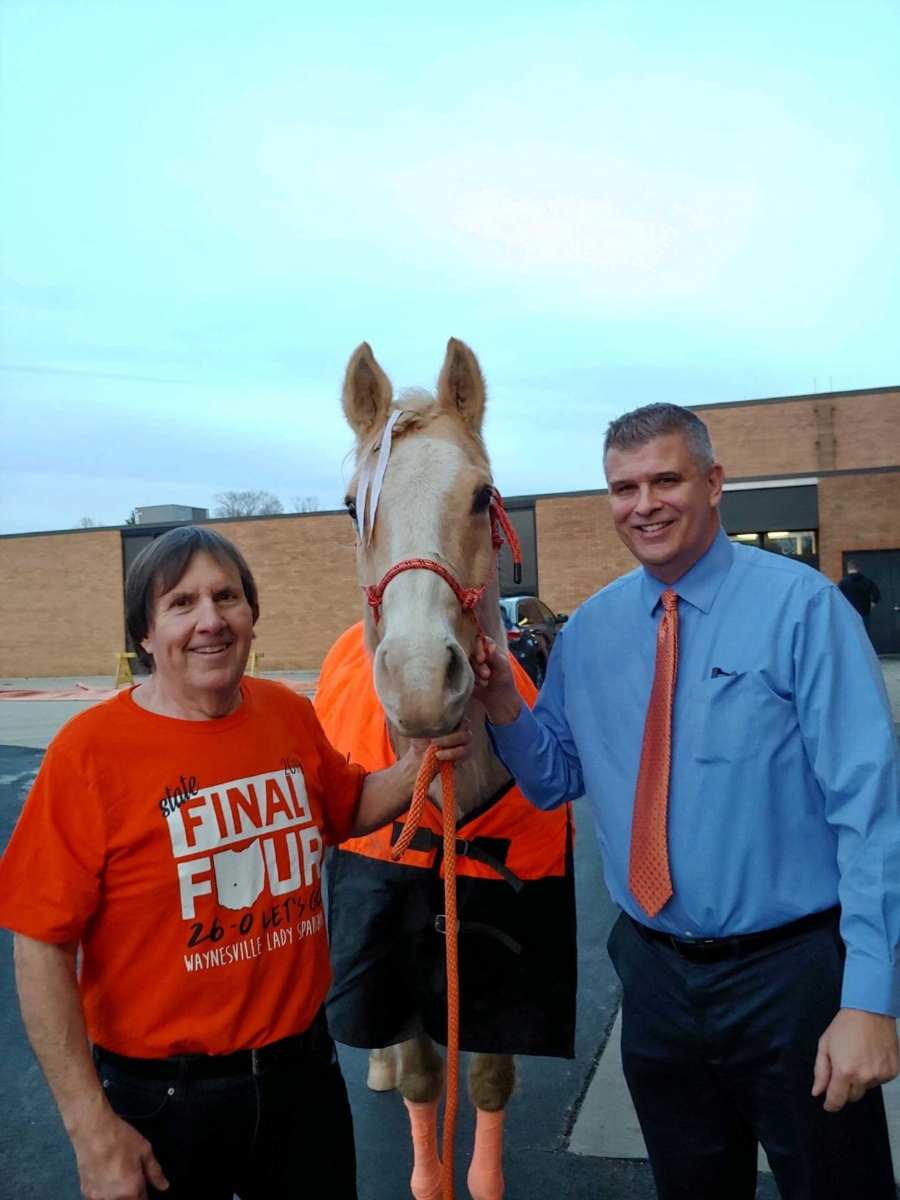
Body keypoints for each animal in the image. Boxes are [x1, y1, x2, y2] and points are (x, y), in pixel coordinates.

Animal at [316, 338, 578, 1200]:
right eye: (349, 506)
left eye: (482, 496)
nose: (423, 679)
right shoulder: (390, 953)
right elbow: (425, 1080)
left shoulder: (508, 957)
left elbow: (490, 1080)